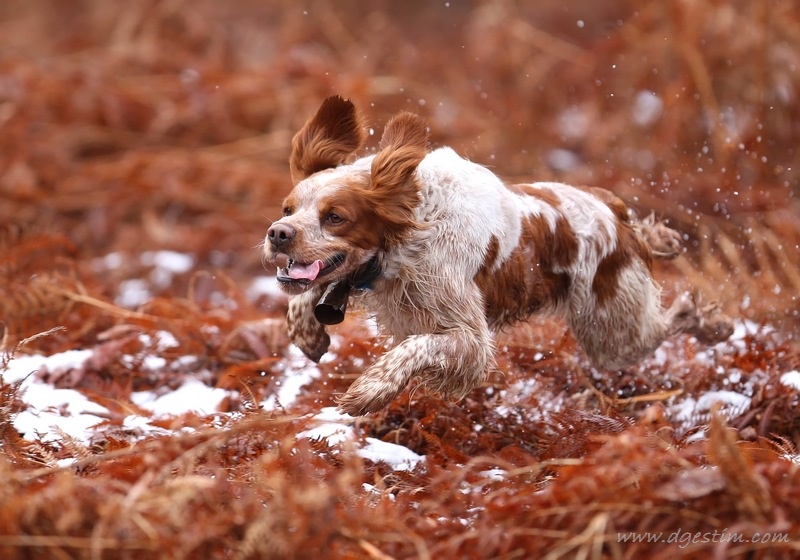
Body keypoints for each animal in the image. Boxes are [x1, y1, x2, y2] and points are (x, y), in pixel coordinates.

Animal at [266, 95, 736, 416]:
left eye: (335, 217)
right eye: (287, 209)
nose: (277, 234)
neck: (405, 243)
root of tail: (612, 210)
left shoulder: (470, 341)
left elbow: (416, 346)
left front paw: (371, 390)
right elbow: (303, 296)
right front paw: (309, 334)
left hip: (612, 334)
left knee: (674, 317)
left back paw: (716, 323)